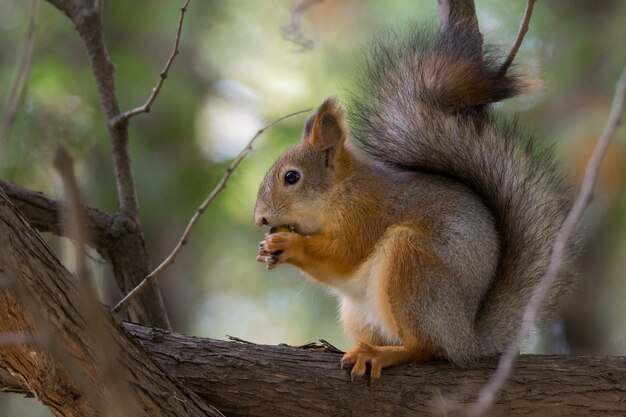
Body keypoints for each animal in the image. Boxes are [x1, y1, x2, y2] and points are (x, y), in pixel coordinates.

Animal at [251, 23, 576, 380]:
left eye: (291, 177)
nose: (260, 219)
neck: (341, 190)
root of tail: (466, 338)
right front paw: (266, 250)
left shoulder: (366, 212)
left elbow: (343, 254)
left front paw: (289, 244)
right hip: (360, 312)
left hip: (413, 271)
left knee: (427, 347)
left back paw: (381, 354)